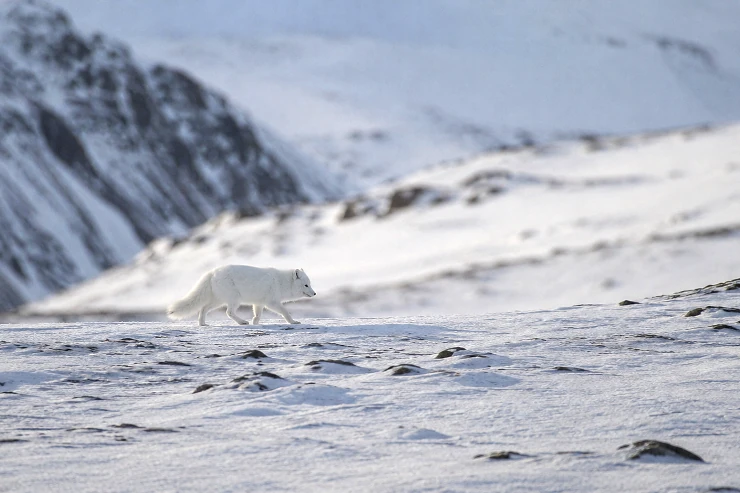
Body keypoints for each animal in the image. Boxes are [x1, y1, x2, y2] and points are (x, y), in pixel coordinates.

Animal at [167, 265, 316, 326]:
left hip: (218, 300)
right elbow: (285, 312)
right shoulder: (272, 302)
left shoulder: (259, 303)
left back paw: (202, 324)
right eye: (306, 285)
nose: (314, 293)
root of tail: (212, 272)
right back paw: (242, 322)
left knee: (203, 309)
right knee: (228, 312)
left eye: (310, 284)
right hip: (233, 299)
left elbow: (257, 315)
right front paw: (293, 322)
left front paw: (255, 323)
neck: (281, 282)